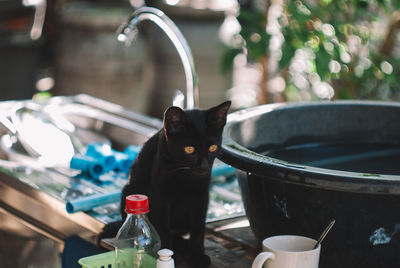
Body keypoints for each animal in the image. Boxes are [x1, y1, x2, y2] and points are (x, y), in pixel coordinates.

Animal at [98, 101, 231, 266]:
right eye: (189, 149)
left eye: (213, 148)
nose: (204, 167)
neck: (185, 176)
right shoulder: (160, 196)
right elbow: (163, 229)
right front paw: (166, 255)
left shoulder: (201, 195)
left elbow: (199, 228)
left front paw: (198, 256)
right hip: (129, 189)